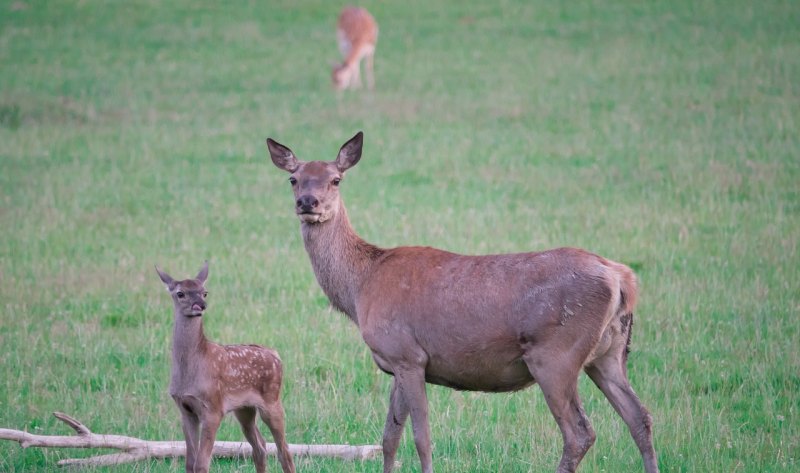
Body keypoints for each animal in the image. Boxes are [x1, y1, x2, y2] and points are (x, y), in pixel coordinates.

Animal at [155, 262, 296, 472]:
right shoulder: (185, 409)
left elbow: (201, 463)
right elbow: (190, 462)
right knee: (260, 447)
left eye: (204, 292)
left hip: (272, 400)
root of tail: (276, 355)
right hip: (245, 409)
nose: (200, 305)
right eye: (180, 293)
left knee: (284, 451)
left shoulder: (213, 408)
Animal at [266, 130, 660, 472]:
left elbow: (421, 438)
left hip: (555, 354)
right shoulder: (396, 360)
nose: (308, 202)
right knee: (640, 417)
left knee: (580, 432)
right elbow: (389, 437)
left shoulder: (408, 355)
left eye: (336, 179)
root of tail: (622, 278)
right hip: (608, 353)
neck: (361, 287)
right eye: (294, 179)